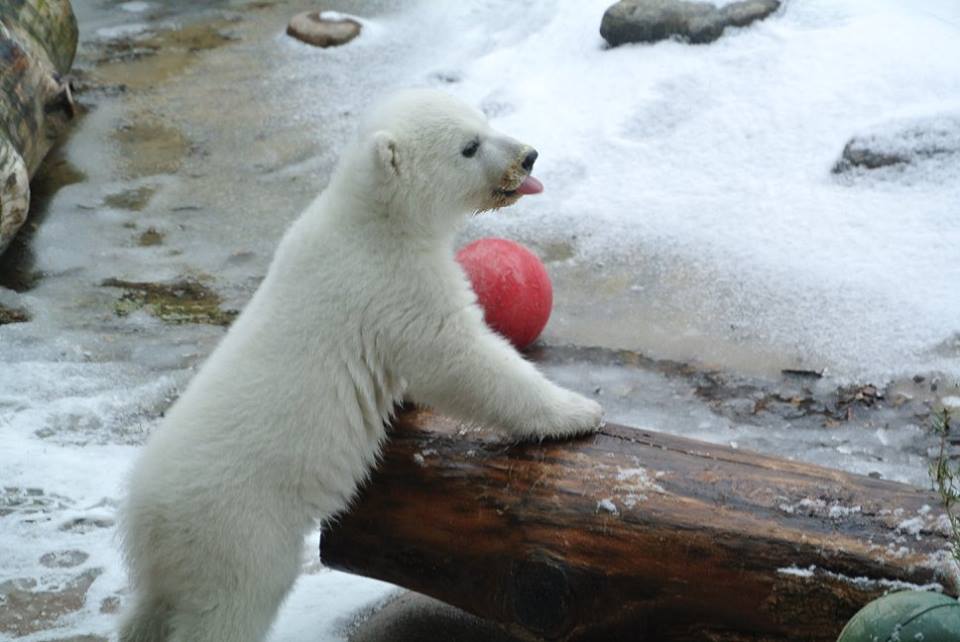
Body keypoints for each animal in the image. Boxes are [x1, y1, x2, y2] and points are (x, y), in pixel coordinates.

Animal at [118, 89, 604, 642]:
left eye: (485, 120)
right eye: (469, 146)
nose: (528, 157)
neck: (371, 215)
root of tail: (144, 520)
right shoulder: (393, 283)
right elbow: (459, 358)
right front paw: (578, 411)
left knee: (150, 609)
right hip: (238, 531)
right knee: (231, 606)